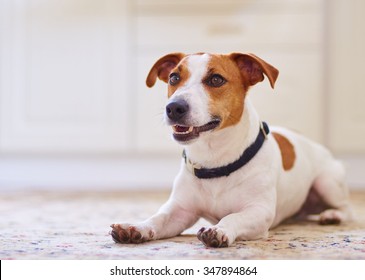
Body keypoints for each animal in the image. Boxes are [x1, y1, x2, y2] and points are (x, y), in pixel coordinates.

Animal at [109, 52, 352, 247]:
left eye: (216, 79)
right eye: (174, 77)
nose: (174, 107)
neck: (215, 161)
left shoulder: (258, 212)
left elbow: (233, 217)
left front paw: (219, 230)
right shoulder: (180, 211)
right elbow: (157, 218)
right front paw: (136, 228)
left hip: (327, 183)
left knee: (346, 208)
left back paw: (332, 215)